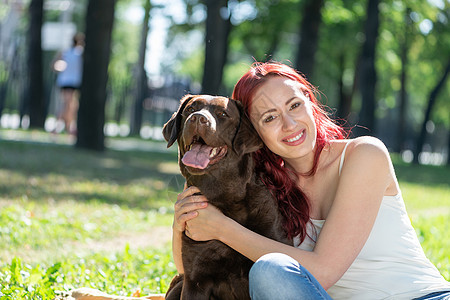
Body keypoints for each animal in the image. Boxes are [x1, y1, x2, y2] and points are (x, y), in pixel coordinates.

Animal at [163, 95, 290, 298]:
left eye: (222, 114)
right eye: (190, 109)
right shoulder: (195, 280)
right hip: (179, 282)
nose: (197, 118)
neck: (225, 199)